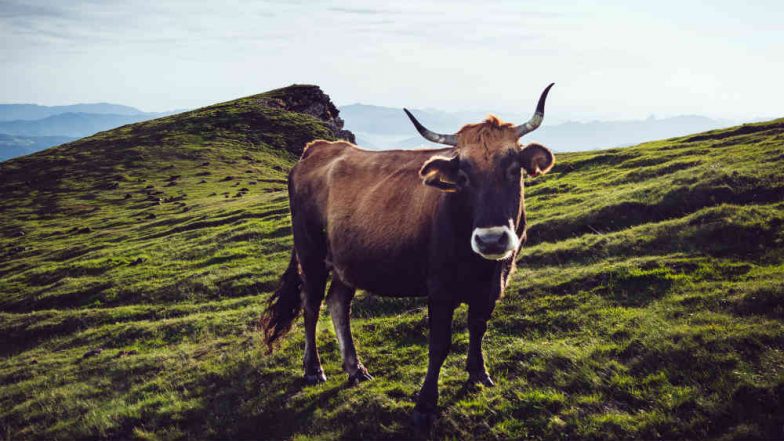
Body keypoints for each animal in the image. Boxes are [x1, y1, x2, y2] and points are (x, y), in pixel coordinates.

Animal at [260, 84, 555, 428]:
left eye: (513, 169)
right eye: (463, 175)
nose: (491, 239)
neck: (479, 267)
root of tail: (318, 148)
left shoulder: (495, 283)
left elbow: (478, 327)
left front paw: (479, 375)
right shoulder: (440, 288)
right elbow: (439, 344)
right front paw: (425, 403)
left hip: (347, 261)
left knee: (337, 303)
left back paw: (355, 369)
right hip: (311, 253)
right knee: (311, 306)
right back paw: (313, 369)